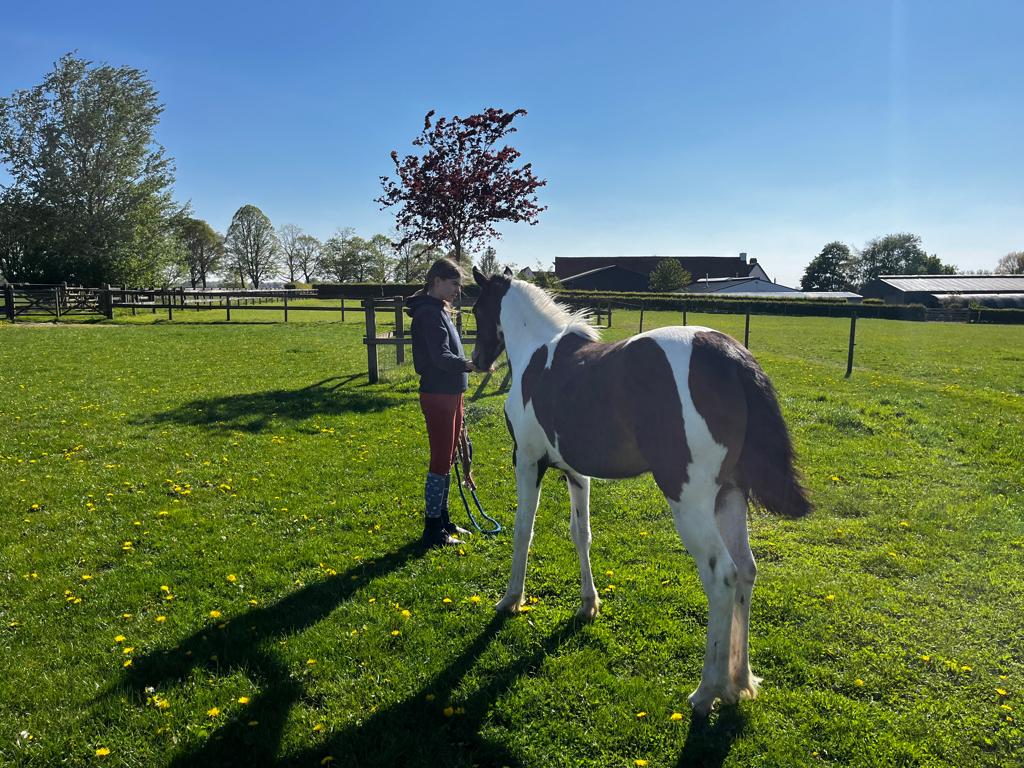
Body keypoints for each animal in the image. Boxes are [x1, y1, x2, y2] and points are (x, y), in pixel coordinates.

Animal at [470, 266, 811, 715]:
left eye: (476, 307)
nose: (476, 361)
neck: (538, 355)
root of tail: (732, 358)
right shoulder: (576, 472)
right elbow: (581, 534)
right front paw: (588, 604)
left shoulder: (527, 462)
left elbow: (523, 530)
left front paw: (511, 599)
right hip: (729, 496)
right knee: (747, 570)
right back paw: (738, 682)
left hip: (691, 502)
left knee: (723, 576)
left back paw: (706, 692)